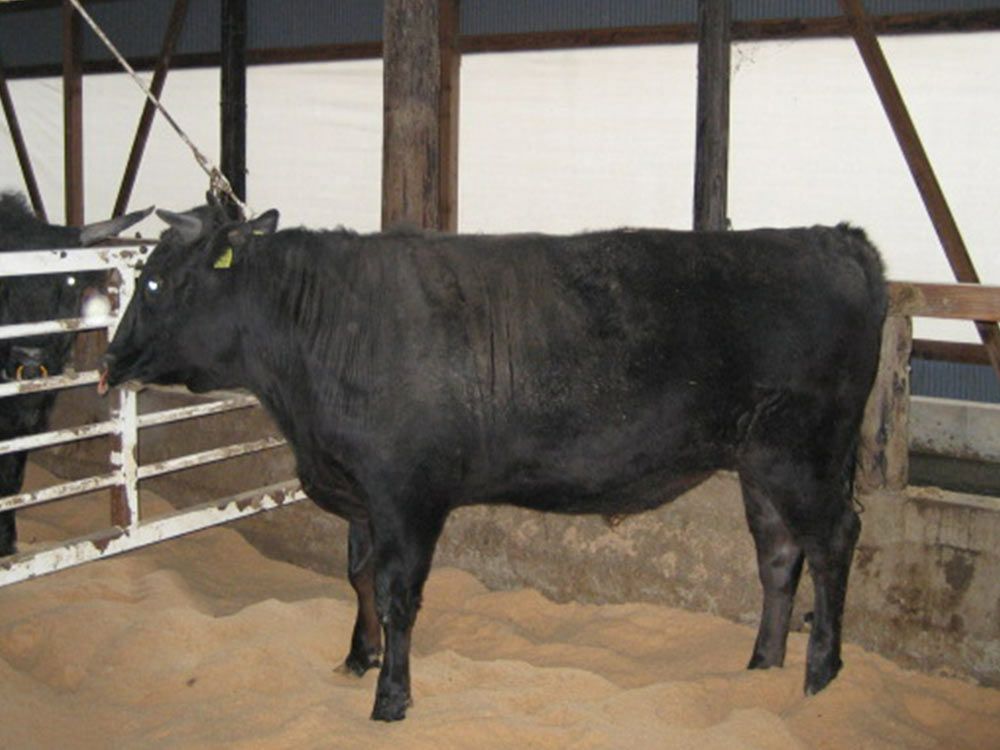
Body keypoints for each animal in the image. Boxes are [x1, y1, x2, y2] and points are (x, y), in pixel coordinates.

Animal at [0, 192, 150, 556]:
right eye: (3, 284)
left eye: (67, 281)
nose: (30, 359)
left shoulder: (26, 422)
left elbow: (10, 480)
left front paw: (6, 543)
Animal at [99, 202, 887, 721]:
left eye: (155, 283)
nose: (108, 362)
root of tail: (834, 238)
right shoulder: (359, 490)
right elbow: (356, 576)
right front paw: (357, 658)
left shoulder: (406, 493)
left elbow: (397, 591)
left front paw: (392, 698)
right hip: (759, 463)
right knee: (778, 554)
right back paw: (761, 668)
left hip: (806, 452)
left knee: (833, 542)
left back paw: (820, 675)